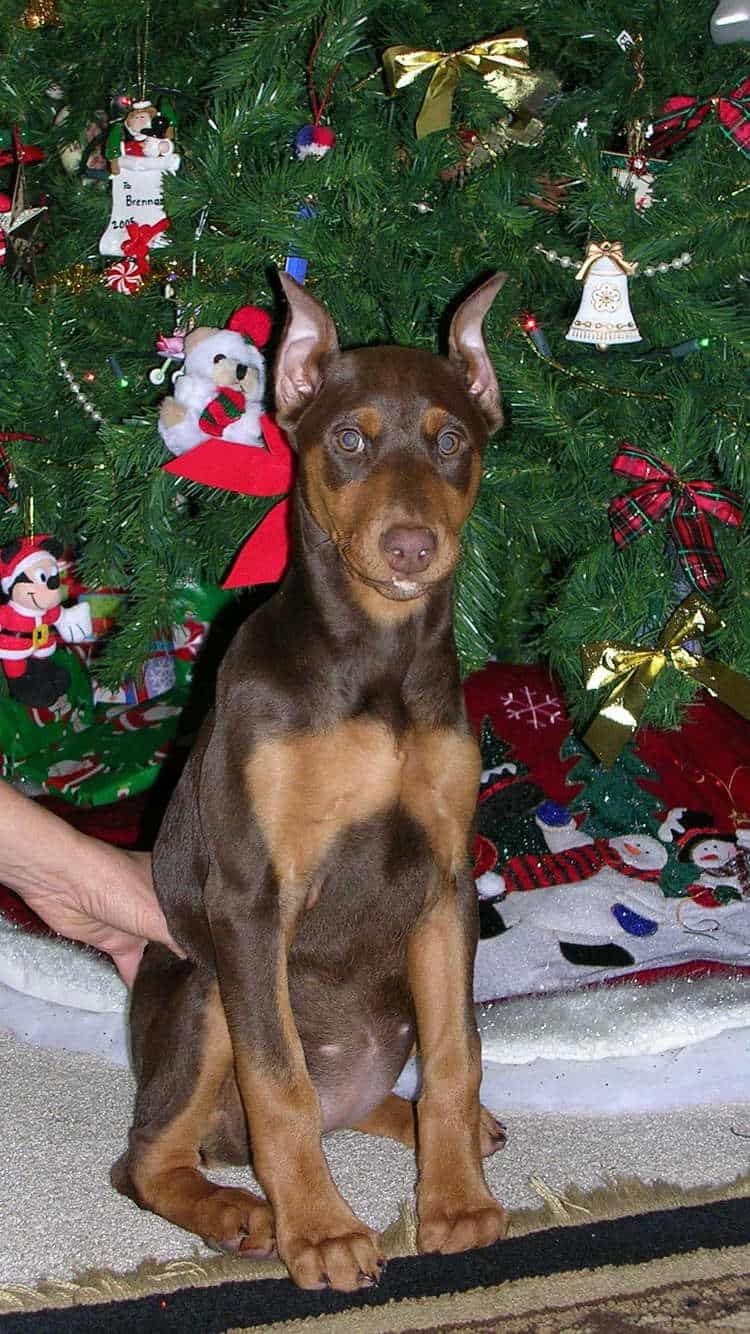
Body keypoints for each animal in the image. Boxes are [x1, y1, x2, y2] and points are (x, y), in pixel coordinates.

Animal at [110, 268, 507, 1291]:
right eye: (349, 440)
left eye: (451, 441)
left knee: (379, 1096)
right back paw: (241, 1212)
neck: (376, 663)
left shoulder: (446, 886)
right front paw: (323, 1234)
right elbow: (279, 1084)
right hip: (206, 988)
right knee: (150, 1158)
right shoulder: (250, 898)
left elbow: (458, 1056)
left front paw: (457, 1205)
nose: (410, 548)